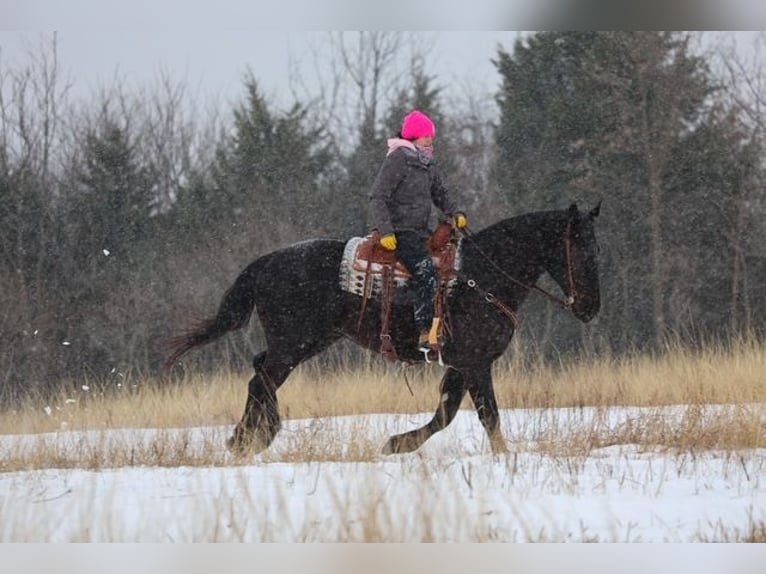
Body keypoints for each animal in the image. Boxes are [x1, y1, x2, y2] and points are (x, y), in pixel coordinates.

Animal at [164, 203, 601, 456]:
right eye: (579, 248)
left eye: (596, 248)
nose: (590, 307)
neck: (481, 276)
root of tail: (265, 261)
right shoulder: (475, 363)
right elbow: (485, 414)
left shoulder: (461, 364)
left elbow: (446, 412)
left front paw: (397, 443)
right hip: (294, 344)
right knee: (261, 380)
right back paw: (249, 440)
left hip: (307, 341)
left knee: (258, 371)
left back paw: (248, 436)